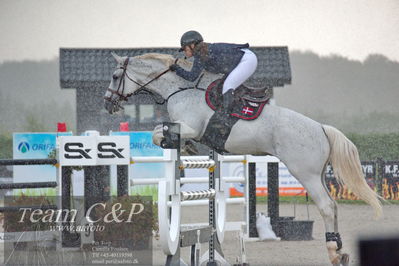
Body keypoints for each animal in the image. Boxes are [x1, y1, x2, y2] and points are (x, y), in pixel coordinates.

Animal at [104, 52, 382, 266]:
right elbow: (160, 133)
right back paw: (340, 250)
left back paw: (333, 252)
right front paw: (188, 147)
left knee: (326, 206)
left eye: (116, 77)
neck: (179, 90)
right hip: (320, 174)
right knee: (333, 206)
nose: (108, 103)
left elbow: (157, 133)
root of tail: (322, 129)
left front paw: (180, 145)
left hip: (306, 173)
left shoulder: (191, 126)